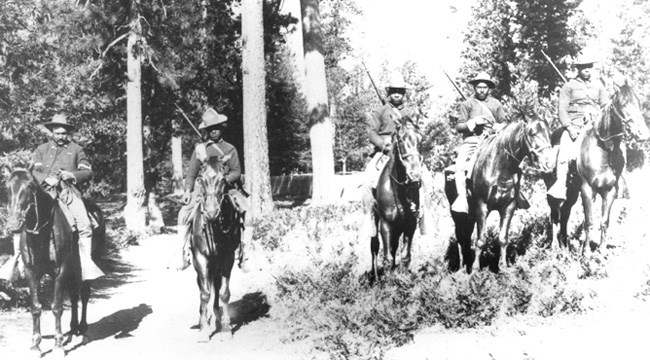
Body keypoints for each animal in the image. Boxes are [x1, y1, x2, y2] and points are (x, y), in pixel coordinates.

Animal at [2, 167, 105, 358]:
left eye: (30, 186)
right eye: (7, 187)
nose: (13, 224)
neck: (42, 233)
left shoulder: (61, 271)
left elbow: (57, 307)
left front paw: (58, 345)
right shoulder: (31, 272)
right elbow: (36, 307)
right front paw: (35, 345)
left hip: (88, 264)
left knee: (84, 295)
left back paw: (83, 331)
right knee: (74, 295)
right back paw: (73, 328)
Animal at [190, 158, 240, 340]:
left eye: (223, 180)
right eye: (201, 179)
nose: (211, 213)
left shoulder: (227, 257)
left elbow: (224, 292)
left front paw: (226, 328)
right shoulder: (200, 257)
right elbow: (204, 292)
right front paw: (204, 330)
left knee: (217, 287)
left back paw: (218, 316)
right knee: (202, 286)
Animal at [370, 119, 426, 280]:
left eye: (420, 139)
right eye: (401, 140)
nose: (415, 176)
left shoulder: (410, 224)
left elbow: (405, 256)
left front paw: (403, 279)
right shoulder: (385, 224)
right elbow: (387, 257)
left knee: (394, 247)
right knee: (374, 246)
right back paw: (375, 277)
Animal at [440, 118, 552, 272]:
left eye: (549, 133)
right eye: (532, 133)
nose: (549, 163)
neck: (500, 168)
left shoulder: (509, 207)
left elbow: (503, 238)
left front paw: (504, 267)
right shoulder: (482, 206)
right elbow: (481, 240)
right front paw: (475, 269)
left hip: (471, 215)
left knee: (466, 236)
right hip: (458, 214)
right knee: (461, 236)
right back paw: (462, 268)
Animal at [540, 81, 648, 253]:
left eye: (639, 103)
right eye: (623, 104)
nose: (643, 134)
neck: (603, 152)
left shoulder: (609, 191)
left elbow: (604, 222)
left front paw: (602, 251)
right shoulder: (587, 189)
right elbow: (589, 221)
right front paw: (585, 252)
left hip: (572, 192)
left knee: (565, 213)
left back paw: (565, 245)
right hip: (553, 189)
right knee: (554, 214)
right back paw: (555, 246)